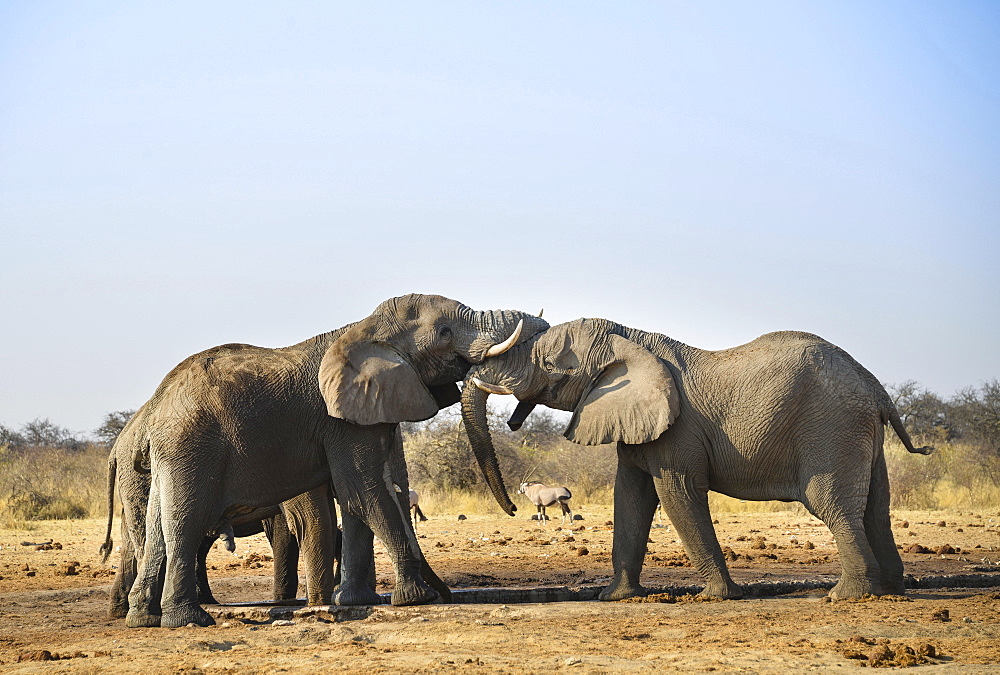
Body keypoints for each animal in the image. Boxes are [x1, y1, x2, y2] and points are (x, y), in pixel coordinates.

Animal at [103, 296, 548, 628]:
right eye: (444, 332)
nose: (447, 595)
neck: (366, 328)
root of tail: (155, 408)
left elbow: (357, 497)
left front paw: (356, 600)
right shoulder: (339, 421)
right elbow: (363, 491)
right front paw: (414, 599)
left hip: (170, 455)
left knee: (157, 526)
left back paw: (143, 619)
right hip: (192, 447)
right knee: (185, 521)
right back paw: (190, 621)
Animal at [464, 318, 932, 604]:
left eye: (549, 365)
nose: (513, 508)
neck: (627, 337)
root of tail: (876, 386)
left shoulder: (679, 432)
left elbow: (678, 494)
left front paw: (715, 597)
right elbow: (630, 497)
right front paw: (615, 598)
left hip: (832, 427)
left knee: (833, 505)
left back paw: (845, 595)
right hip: (860, 432)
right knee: (876, 509)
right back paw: (891, 590)